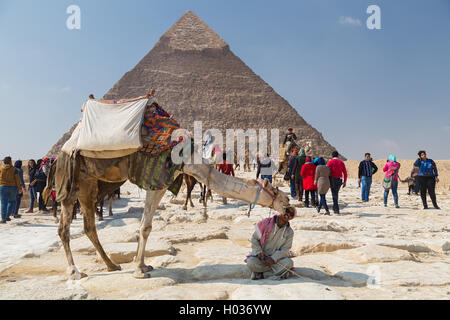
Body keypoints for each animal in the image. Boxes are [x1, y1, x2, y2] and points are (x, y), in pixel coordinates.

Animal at [46, 149, 292, 278]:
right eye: (278, 193)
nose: (291, 208)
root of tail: (57, 157)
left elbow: (144, 224)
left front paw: (142, 265)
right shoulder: (157, 180)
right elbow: (146, 226)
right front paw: (139, 270)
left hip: (87, 185)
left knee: (87, 226)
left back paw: (111, 265)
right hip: (71, 182)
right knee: (65, 228)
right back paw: (75, 271)